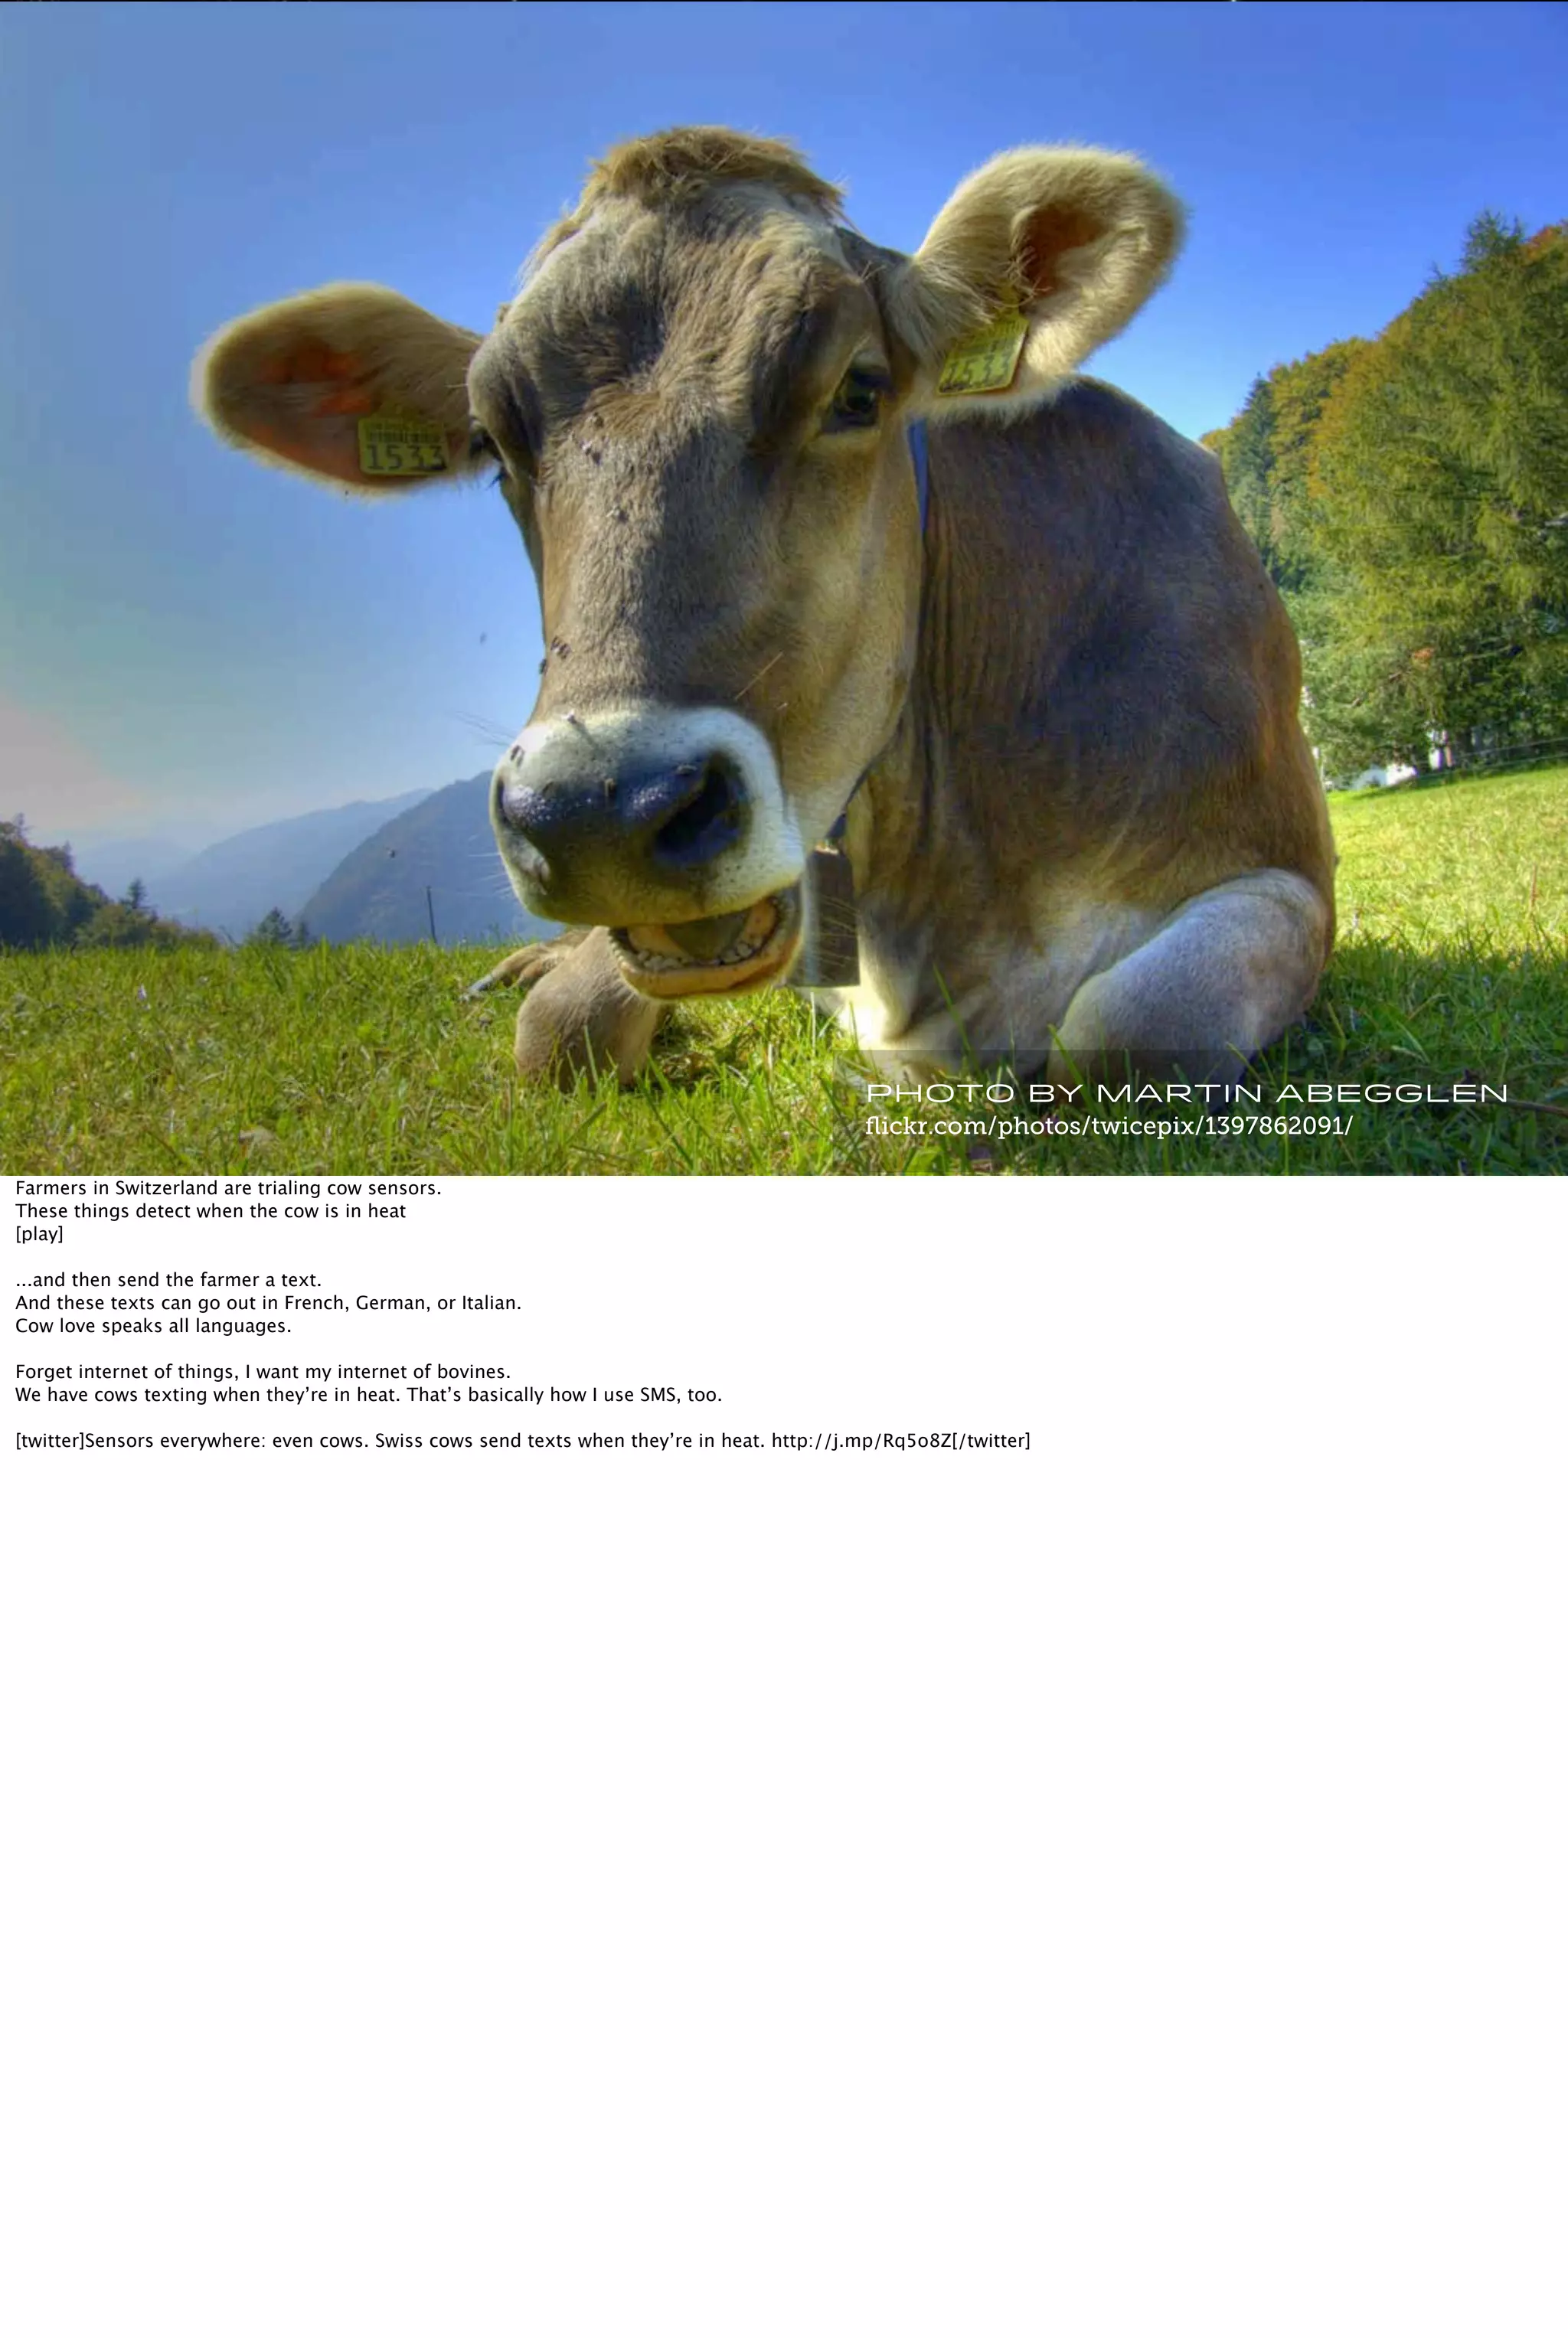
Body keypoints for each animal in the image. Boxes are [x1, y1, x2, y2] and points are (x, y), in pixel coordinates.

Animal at [193, 127, 1334, 1092]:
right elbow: (563, 1031)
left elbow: (1127, 1029)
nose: (597, 812)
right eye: (489, 440)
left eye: (861, 390)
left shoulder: (1283, 873)